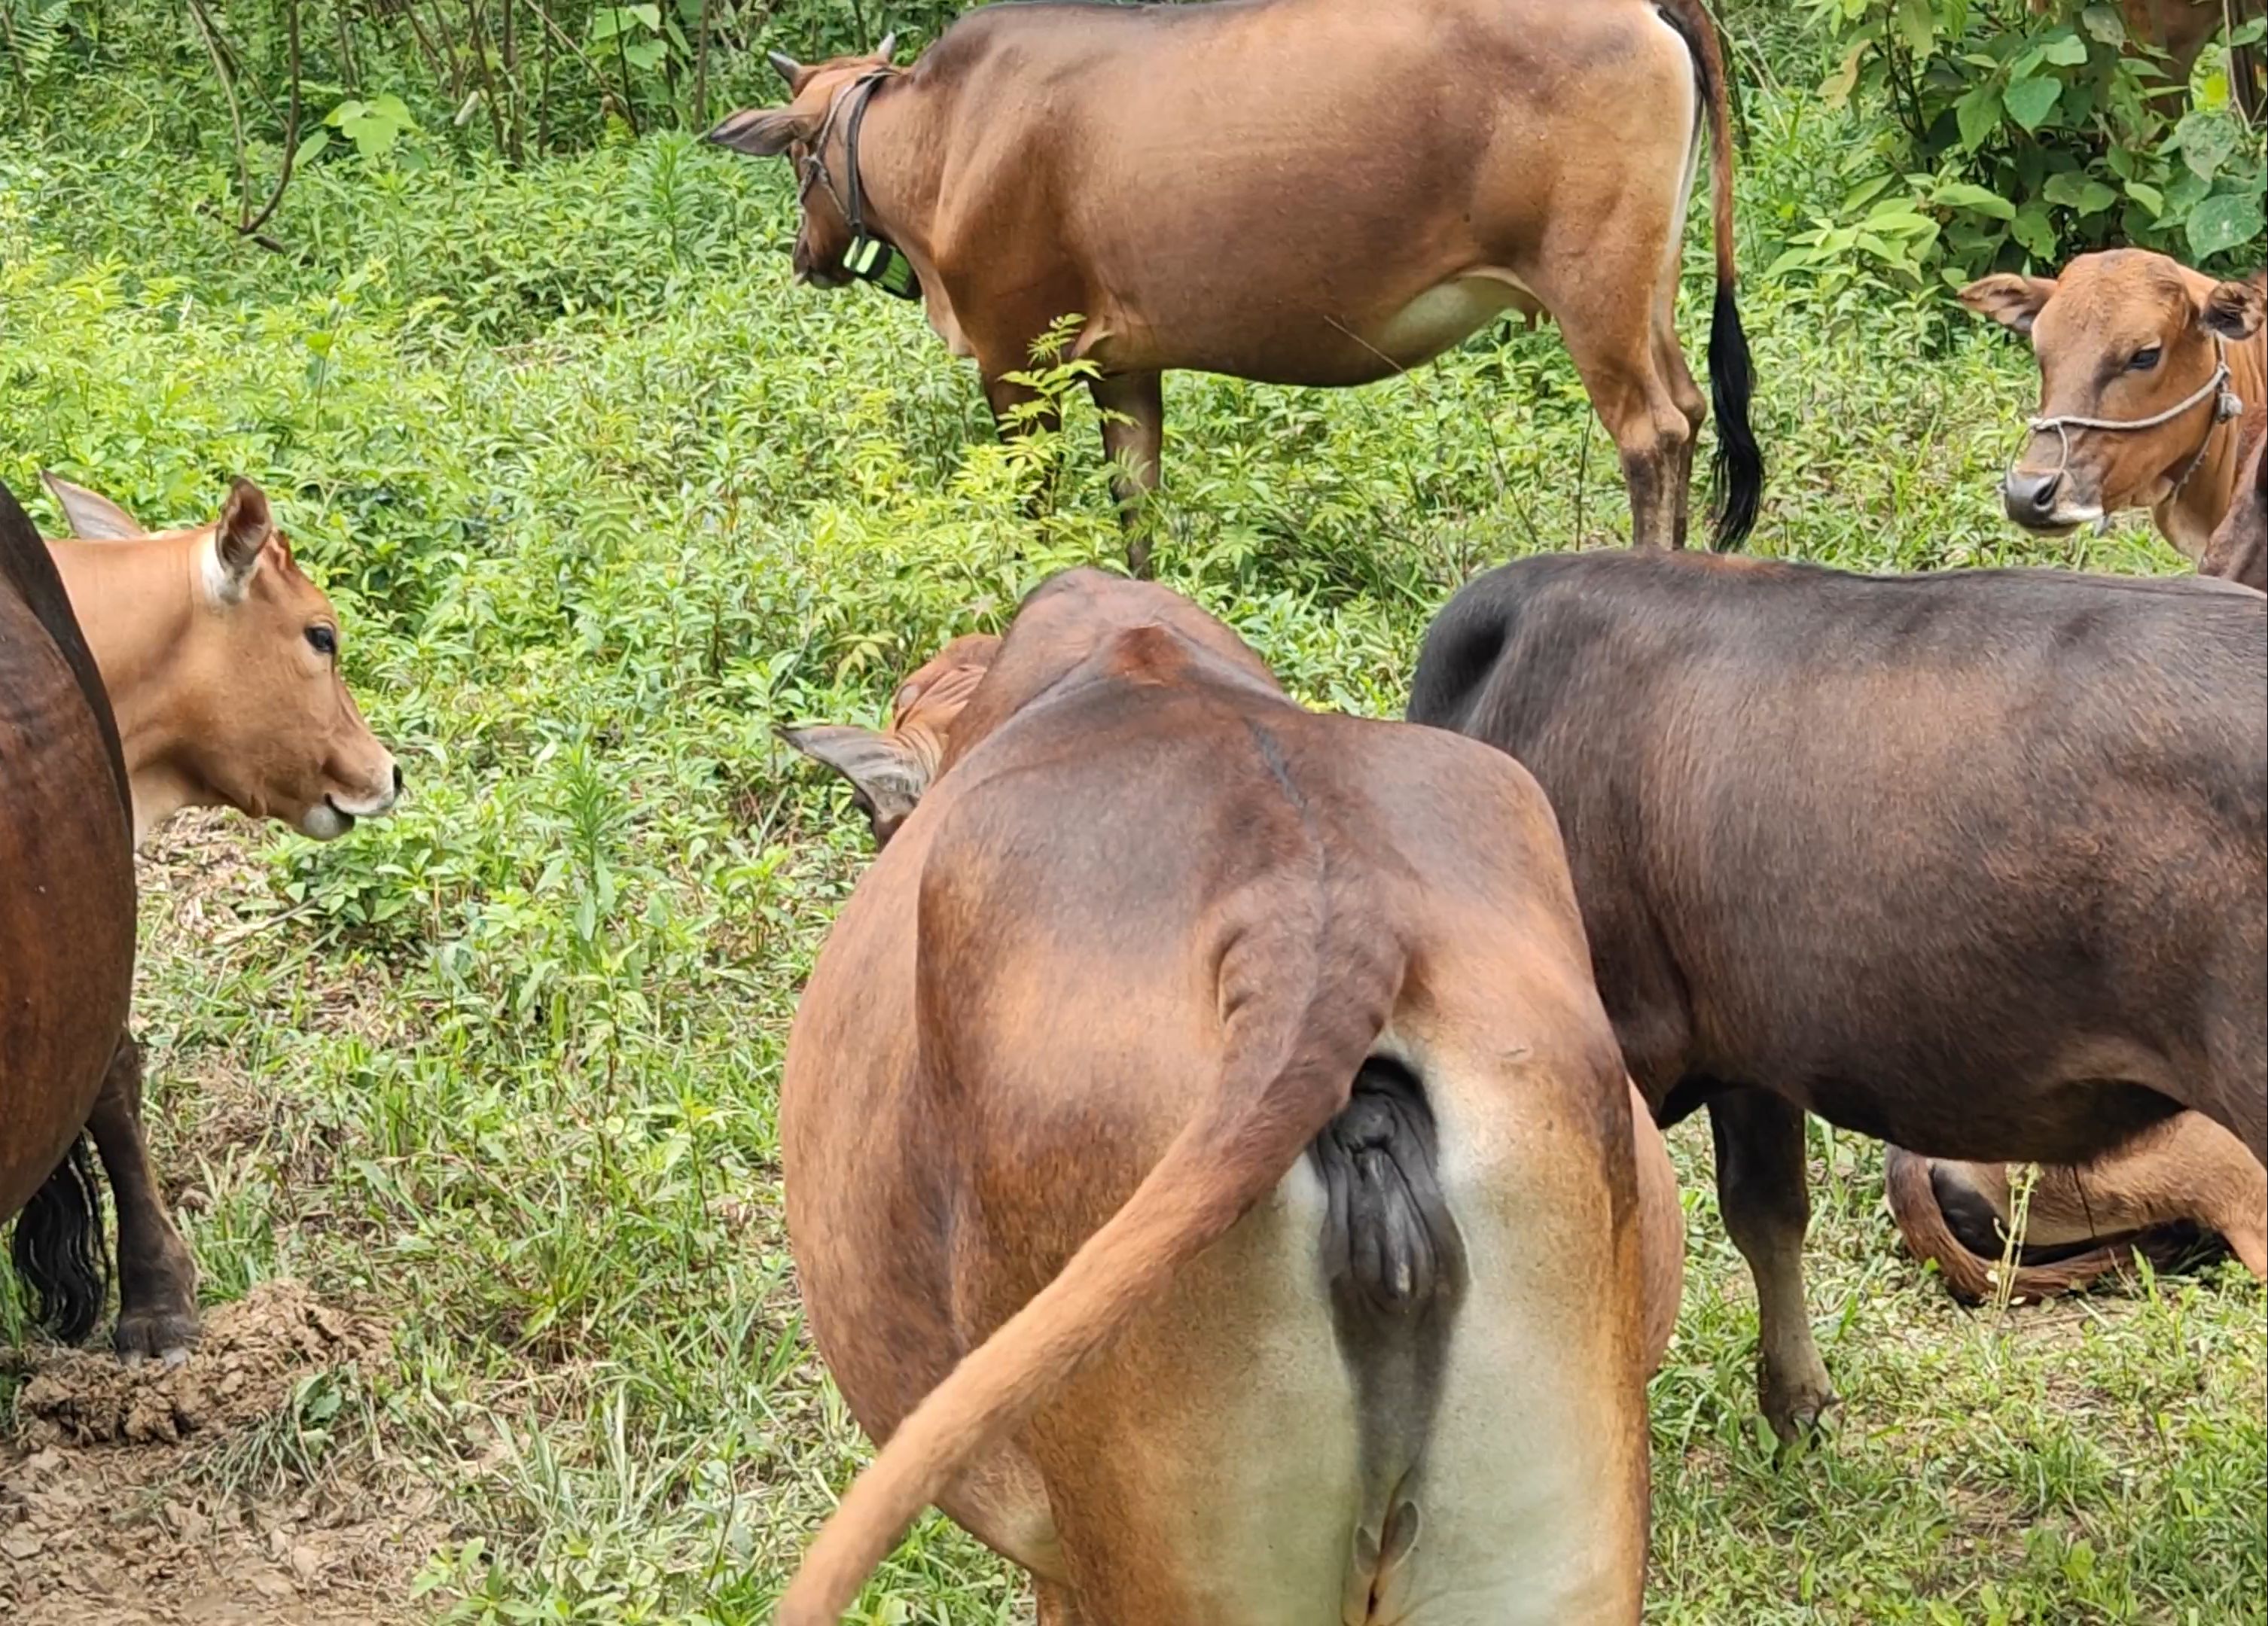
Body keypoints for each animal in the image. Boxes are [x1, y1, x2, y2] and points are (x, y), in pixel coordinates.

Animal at [703, 0, 1751, 571]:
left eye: (796, 154)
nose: (803, 254)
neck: (948, 128)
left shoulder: (1015, 356)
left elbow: (1033, 507)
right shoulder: (1121, 364)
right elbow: (1136, 502)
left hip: (1594, 289)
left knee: (1652, 433)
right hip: (1650, 290)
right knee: (1694, 409)